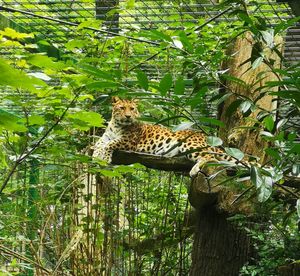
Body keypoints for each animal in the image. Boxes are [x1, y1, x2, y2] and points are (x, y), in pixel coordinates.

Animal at [92, 97, 247, 177]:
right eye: (122, 108)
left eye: (132, 109)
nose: (129, 116)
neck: (116, 125)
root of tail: (206, 137)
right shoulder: (106, 136)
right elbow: (99, 143)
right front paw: (95, 154)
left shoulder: (128, 141)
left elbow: (110, 144)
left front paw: (104, 157)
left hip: (189, 144)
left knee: (210, 158)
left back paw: (194, 170)